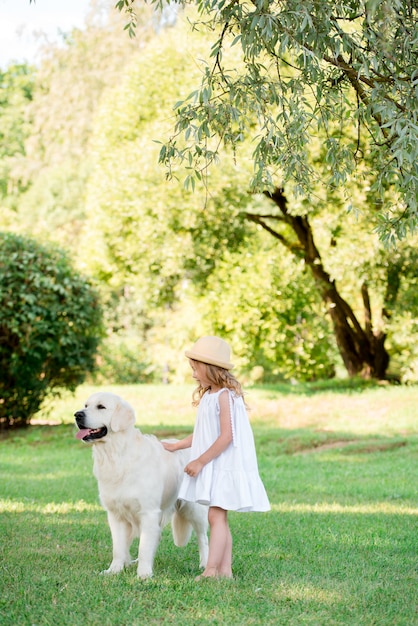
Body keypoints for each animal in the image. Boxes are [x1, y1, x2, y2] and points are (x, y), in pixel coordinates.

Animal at [74, 390, 208, 576]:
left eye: (101, 407)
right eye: (86, 405)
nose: (77, 415)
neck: (117, 455)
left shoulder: (148, 512)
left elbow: (144, 546)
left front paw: (144, 574)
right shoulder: (115, 514)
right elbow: (119, 547)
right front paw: (114, 570)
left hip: (194, 509)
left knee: (203, 537)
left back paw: (205, 564)